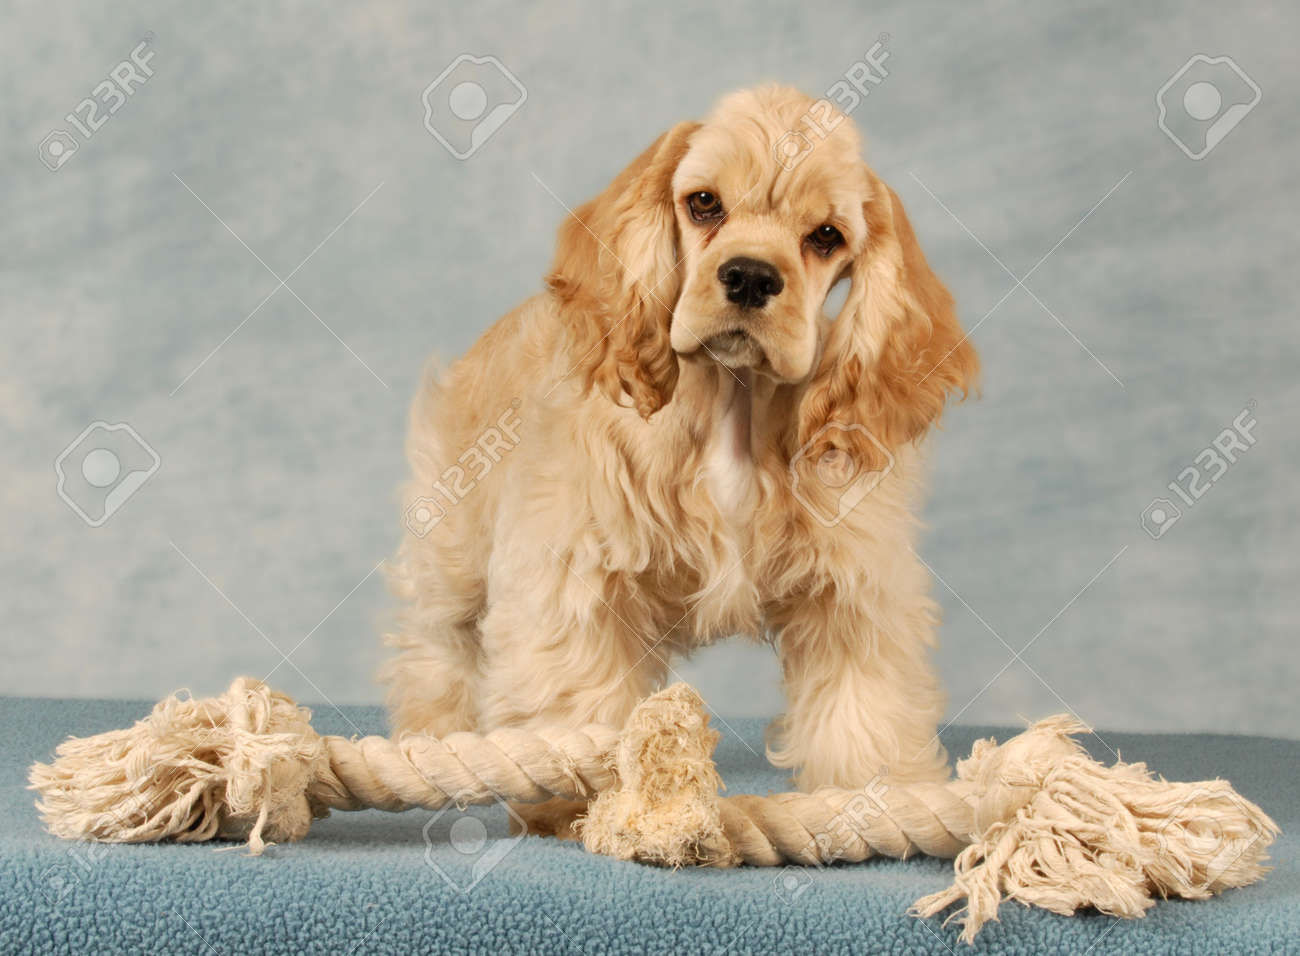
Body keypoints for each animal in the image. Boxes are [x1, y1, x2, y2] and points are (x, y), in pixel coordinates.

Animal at [379, 83, 977, 832]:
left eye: (826, 236)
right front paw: (573, 800)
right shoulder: (575, 574)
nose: (749, 278)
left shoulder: (852, 587)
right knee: (437, 643)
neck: (730, 403)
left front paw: (879, 800)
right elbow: (573, 698)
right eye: (703, 203)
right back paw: (434, 738)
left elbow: (865, 709)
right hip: (452, 547)